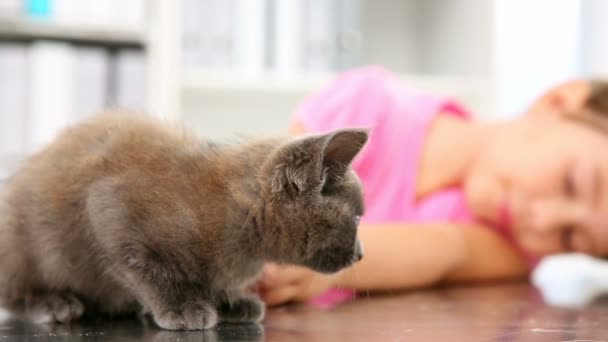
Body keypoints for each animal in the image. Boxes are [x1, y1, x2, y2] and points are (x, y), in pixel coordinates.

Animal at [0, 113, 366, 330]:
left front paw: (231, 298)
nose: (362, 254)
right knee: (14, 293)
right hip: (22, 242)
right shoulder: (108, 209)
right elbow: (147, 271)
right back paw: (54, 303)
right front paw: (181, 306)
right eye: (358, 216)